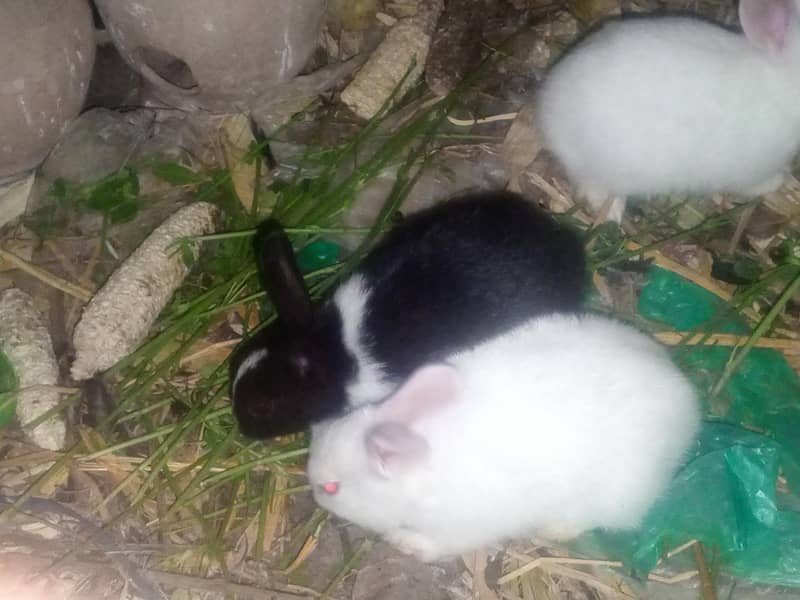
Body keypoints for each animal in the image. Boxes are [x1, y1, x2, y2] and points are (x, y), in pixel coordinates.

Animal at [307, 313, 701, 562]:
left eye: (332, 488)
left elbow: (438, 544)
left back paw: (554, 531)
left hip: (613, 495)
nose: (315, 495)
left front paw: (403, 543)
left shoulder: (459, 527)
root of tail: (688, 405)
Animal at [535, 0, 800, 222]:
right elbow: (758, 183)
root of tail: (548, 109)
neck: (778, 84)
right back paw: (613, 213)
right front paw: (781, 181)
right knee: (592, 185)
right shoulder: (752, 170)